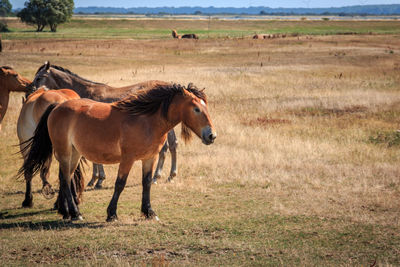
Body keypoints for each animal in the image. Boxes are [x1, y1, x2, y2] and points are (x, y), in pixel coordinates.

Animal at [20, 84, 217, 222]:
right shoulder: (127, 159)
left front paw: (149, 212)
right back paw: (75, 214)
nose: (212, 135)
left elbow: (147, 183)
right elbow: (120, 184)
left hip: (75, 154)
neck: (146, 121)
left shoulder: (150, 158)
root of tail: (57, 107)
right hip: (65, 153)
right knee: (66, 180)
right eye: (196, 109)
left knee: (65, 178)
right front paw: (112, 214)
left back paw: (67, 212)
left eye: (206, 107)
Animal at [30, 62, 181, 186]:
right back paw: (170, 175)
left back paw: (157, 176)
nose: (32, 90)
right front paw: (95, 179)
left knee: (165, 148)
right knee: (172, 145)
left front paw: (98, 179)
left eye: (39, 77)